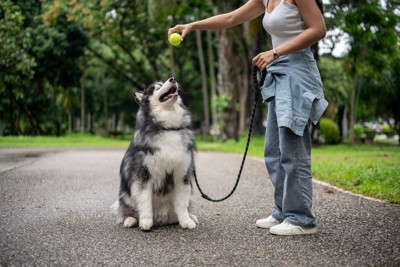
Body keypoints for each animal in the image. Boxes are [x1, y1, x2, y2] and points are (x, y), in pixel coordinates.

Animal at [112, 78, 198, 232]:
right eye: (157, 87)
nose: (172, 79)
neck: (167, 128)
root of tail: (161, 220)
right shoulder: (143, 176)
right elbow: (145, 202)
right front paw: (146, 221)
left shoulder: (182, 175)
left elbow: (182, 203)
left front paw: (186, 220)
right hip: (126, 195)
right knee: (126, 211)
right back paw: (130, 220)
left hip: (190, 195)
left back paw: (190, 216)